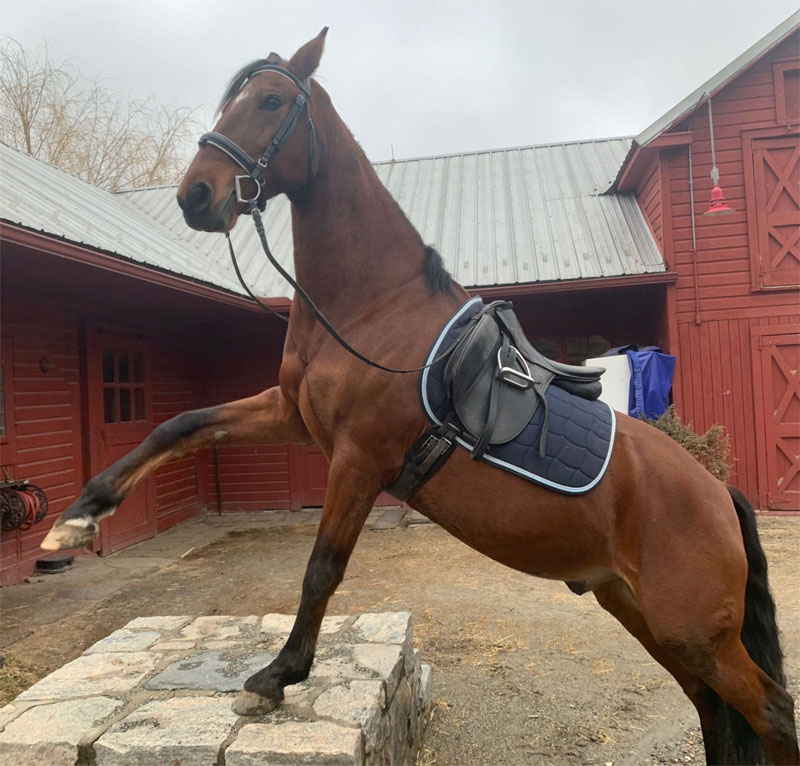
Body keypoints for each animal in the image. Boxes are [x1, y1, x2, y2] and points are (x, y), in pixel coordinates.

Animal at [45, 30, 800, 766]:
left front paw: (277, 676)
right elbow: (181, 424)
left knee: (769, 714)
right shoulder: (293, 415)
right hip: (646, 615)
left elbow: (321, 569)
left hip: (692, 630)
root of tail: (718, 493)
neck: (373, 306)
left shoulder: (357, 458)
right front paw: (77, 520)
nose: (196, 196)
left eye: (268, 101)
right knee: (714, 710)